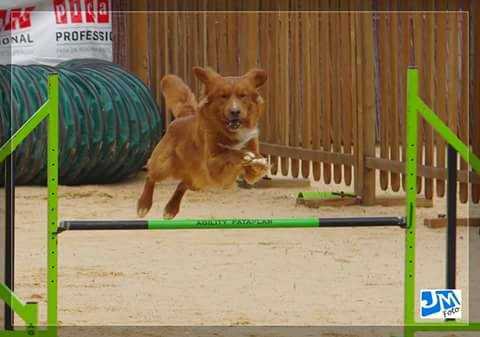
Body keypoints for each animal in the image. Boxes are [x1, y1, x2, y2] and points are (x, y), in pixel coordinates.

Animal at [137, 66, 268, 219]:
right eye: (223, 96)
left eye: (243, 95)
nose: (235, 111)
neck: (229, 131)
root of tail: (184, 116)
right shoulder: (211, 165)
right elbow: (230, 153)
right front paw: (244, 155)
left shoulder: (249, 175)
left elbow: (254, 166)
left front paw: (259, 162)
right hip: (164, 165)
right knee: (151, 176)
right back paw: (143, 205)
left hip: (198, 180)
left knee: (182, 184)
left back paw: (171, 209)